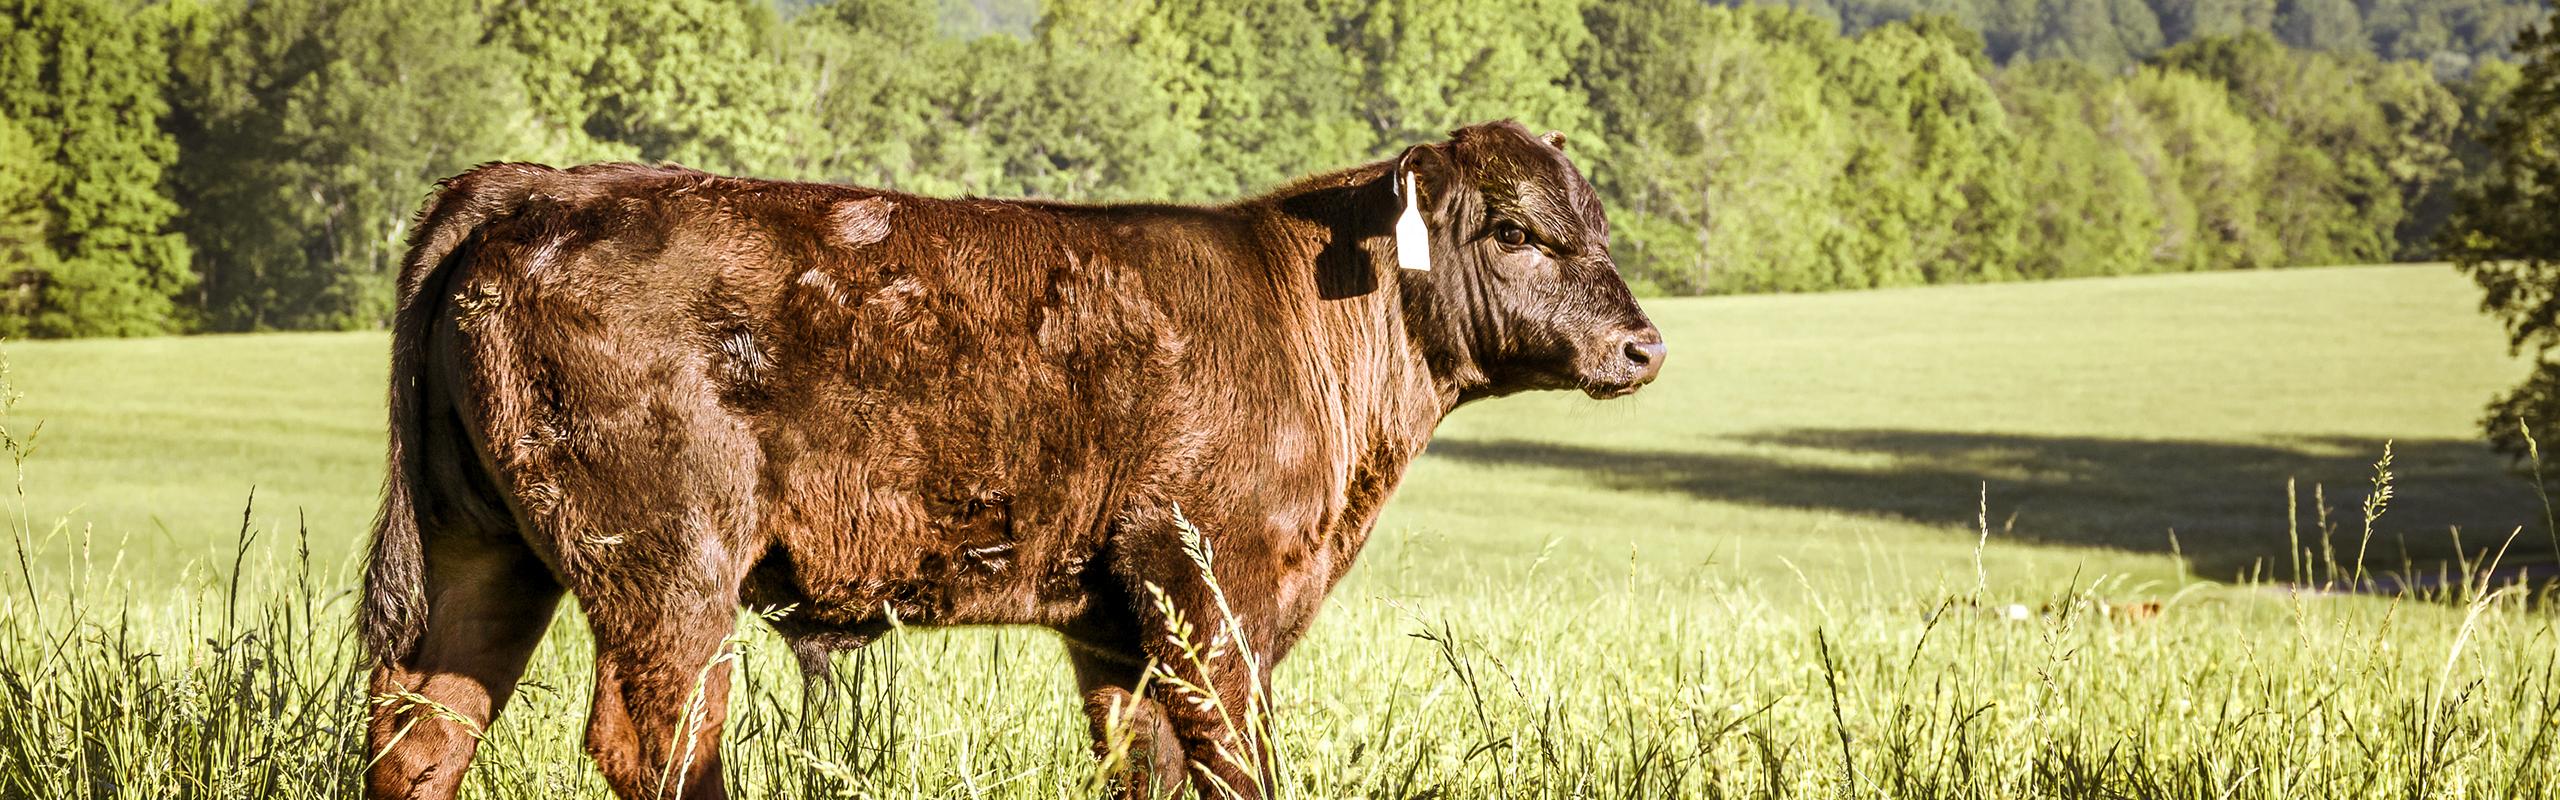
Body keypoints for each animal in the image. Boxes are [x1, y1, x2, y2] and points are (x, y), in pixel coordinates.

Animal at [359, 119, 1666, 800]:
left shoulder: (1119, 624)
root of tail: (545, 184)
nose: (1641, 343)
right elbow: (1232, 759)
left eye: (1598, 225)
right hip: (667, 567)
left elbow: (1143, 764)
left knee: (421, 730)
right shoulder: (1213, 586)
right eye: (1514, 229)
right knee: (662, 742)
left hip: (484, 553)